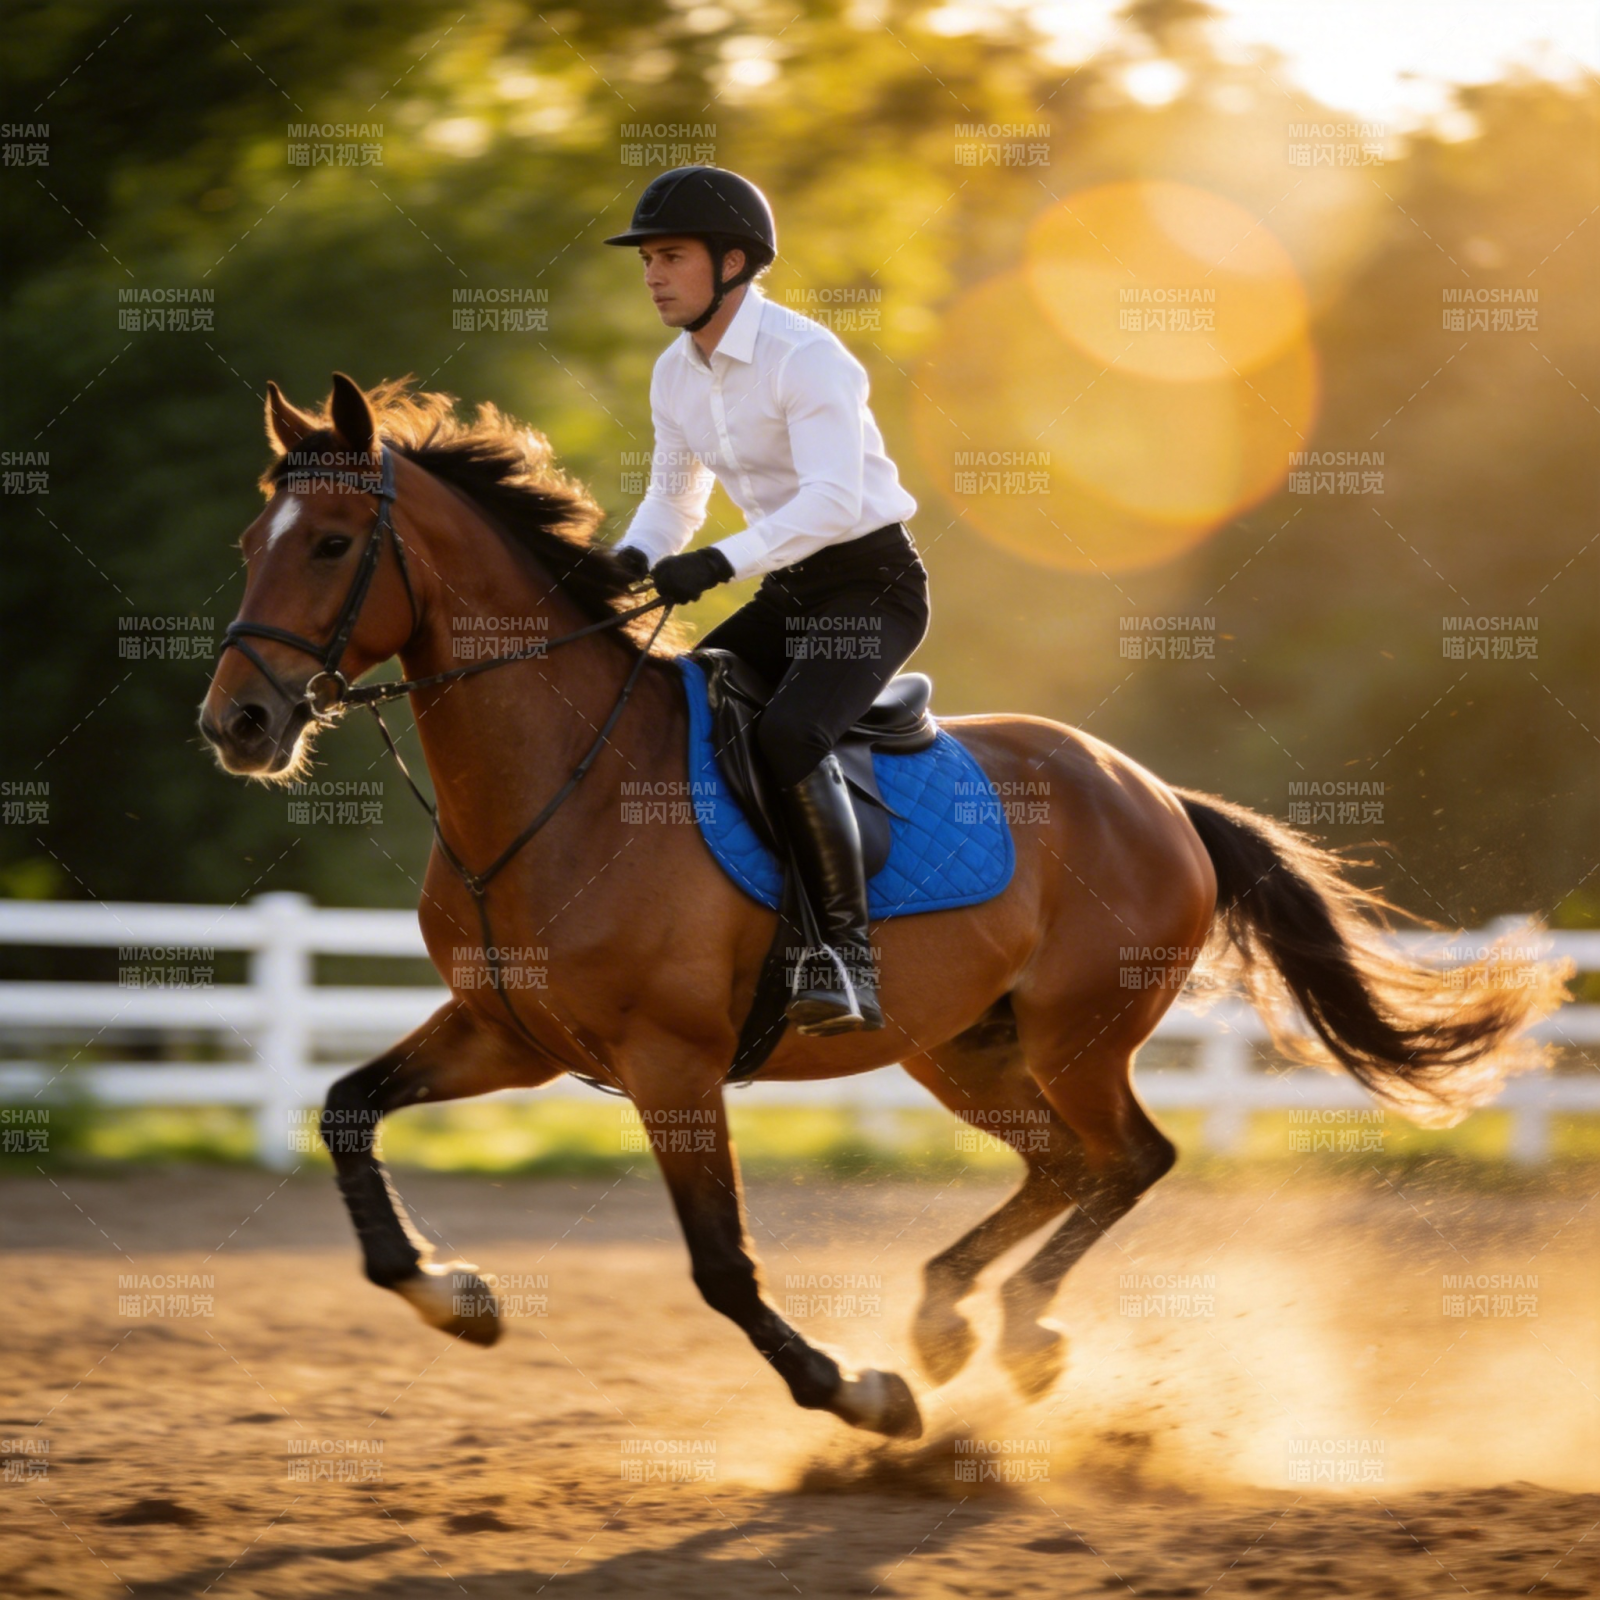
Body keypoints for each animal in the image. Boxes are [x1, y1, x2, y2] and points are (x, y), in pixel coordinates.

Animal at [198, 373, 1564, 1441]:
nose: (238, 724)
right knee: (1066, 1162)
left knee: (1131, 1156)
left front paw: (855, 1393)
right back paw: (951, 1316)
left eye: (330, 544)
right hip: (959, 1047)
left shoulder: (668, 1064)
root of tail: (1153, 794)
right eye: (251, 542)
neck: (554, 787)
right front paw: (455, 1293)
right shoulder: (510, 1036)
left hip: (1075, 1035)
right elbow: (344, 1110)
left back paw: (1014, 1335)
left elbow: (721, 1266)